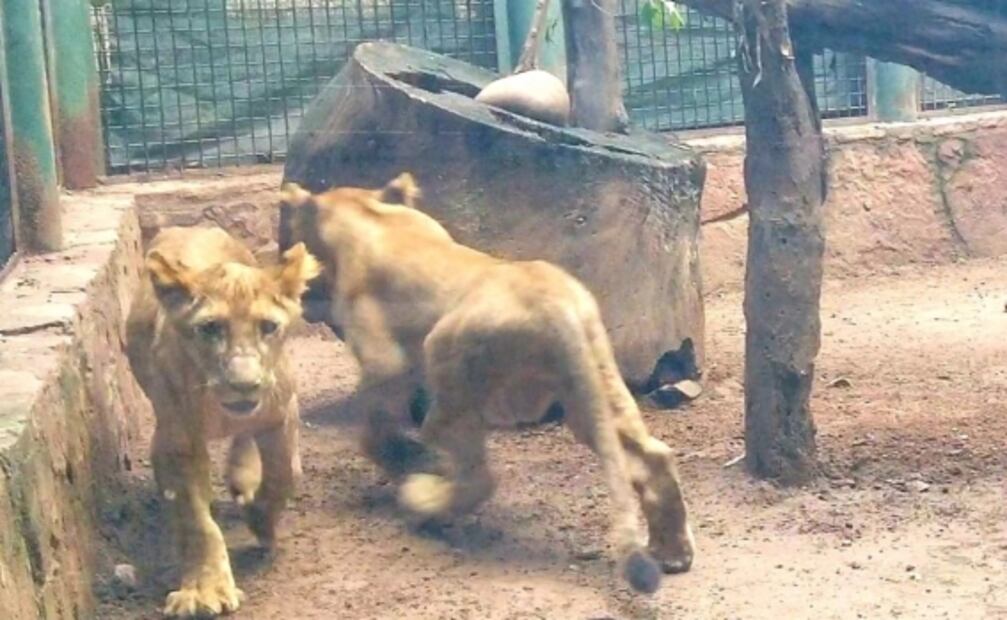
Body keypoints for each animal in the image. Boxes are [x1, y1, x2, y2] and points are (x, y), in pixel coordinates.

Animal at [125, 226, 320, 617]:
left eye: (268, 327)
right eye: (210, 328)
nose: (244, 384)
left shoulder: (281, 412)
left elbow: (283, 475)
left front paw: (260, 520)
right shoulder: (179, 439)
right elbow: (197, 520)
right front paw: (204, 590)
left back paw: (242, 476)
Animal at [278, 174, 694, 594]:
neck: (367, 214)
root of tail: (556, 307)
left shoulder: (384, 357)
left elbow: (376, 419)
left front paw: (397, 458)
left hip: (448, 368)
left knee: (478, 476)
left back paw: (422, 500)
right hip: (592, 387)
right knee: (654, 455)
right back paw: (673, 554)